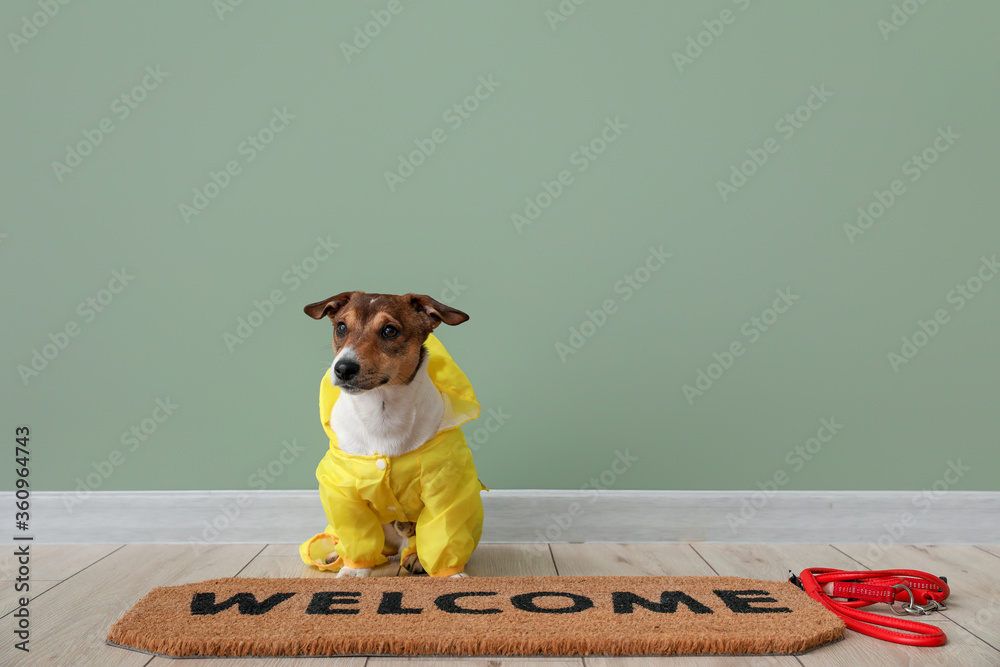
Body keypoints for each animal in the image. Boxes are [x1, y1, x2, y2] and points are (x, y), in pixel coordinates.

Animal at [298, 292, 486, 580]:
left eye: (389, 330)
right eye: (341, 327)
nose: (343, 368)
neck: (381, 412)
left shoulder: (445, 488)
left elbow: (443, 534)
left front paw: (450, 575)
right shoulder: (343, 491)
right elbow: (356, 535)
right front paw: (353, 570)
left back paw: (415, 558)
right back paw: (335, 555)